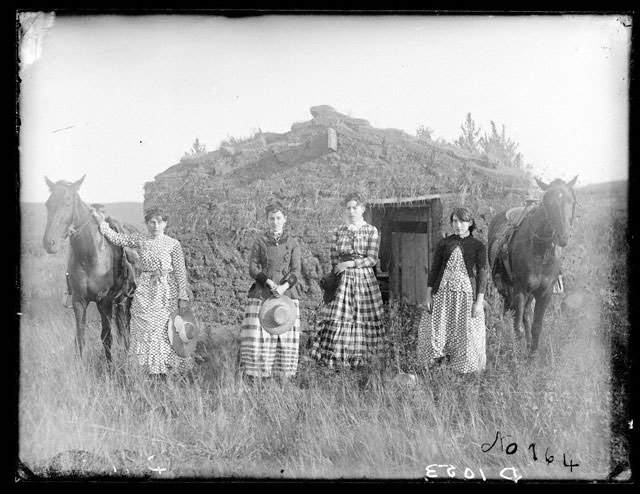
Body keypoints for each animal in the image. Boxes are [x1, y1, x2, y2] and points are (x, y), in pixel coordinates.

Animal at [42, 176, 139, 360]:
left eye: (68, 202)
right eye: (48, 204)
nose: (49, 243)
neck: (90, 256)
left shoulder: (105, 301)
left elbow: (106, 337)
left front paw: (110, 365)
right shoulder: (79, 301)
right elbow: (80, 338)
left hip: (127, 300)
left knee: (126, 328)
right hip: (120, 301)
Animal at [490, 177, 580, 358]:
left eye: (571, 201)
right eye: (547, 203)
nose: (563, 237)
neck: (541, 251)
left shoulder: (544, 293)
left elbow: (536, 326)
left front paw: (531, 357)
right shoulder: (520, 291)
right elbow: (517, 327)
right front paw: (517, 359)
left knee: (524, 315)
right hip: (506, 288)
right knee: (508, 313)